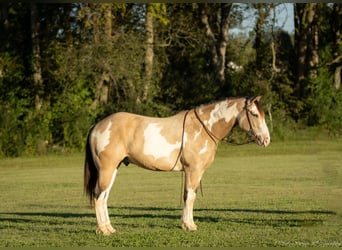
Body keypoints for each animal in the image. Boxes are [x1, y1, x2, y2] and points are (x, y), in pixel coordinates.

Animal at [83, 95, 270, 234]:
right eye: (254, 114)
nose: (266, 140)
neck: (203, 128)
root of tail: (98, 125)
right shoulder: (193, 170)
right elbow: (190, 196)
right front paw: (189, 225)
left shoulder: (196, 172)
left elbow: (190, 195)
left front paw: (187, 223)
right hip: (106, 170)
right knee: (98, 196)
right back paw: (103, 230)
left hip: (113, 170)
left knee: (104, 196)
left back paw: (109, 227)